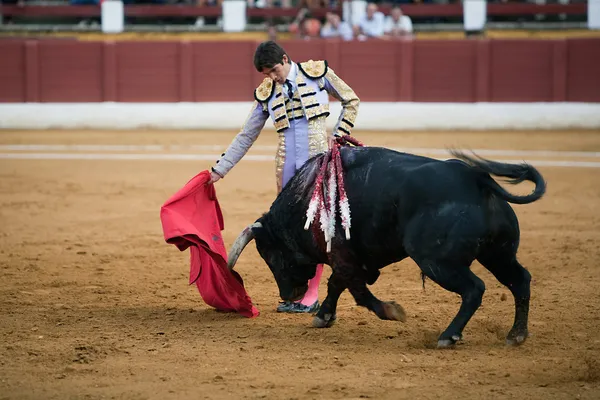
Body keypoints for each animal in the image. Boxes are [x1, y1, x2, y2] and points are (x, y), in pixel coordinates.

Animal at [227, 147, 548, 346]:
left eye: (271, 257)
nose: (287, 295)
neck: (305, 200)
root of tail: (474, 178)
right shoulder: (350, 257)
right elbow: (337, 284)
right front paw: (323, 317)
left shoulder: (343, 256)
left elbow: (357, 291)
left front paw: (392, 311)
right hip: (498, 253)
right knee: (520, 280)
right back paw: (516, 335)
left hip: (436, 261)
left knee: (474, 289)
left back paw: (448, 335)